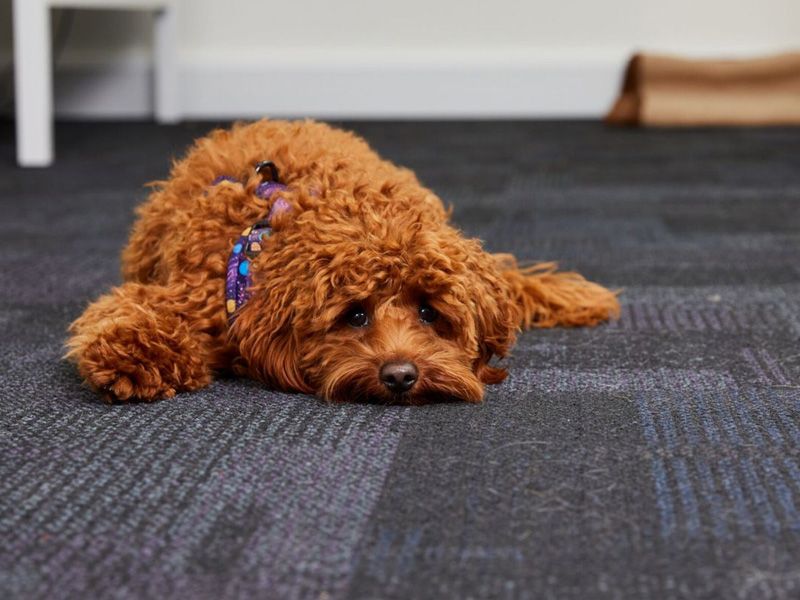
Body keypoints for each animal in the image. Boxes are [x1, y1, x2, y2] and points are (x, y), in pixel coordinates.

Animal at [67, 118, 620, 404]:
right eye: (354, 314)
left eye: (429, 312)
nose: (400, 376)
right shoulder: (188, 291)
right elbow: (129, 311)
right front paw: (132, 357)